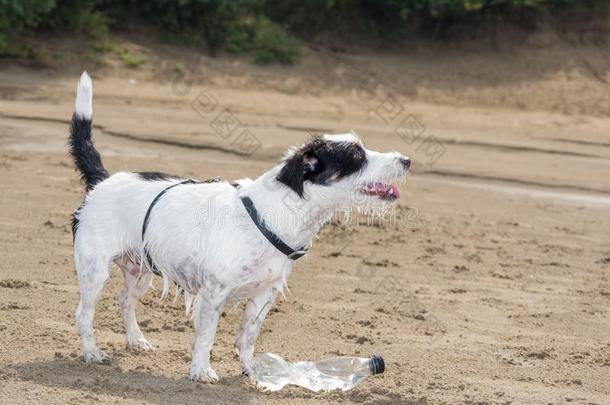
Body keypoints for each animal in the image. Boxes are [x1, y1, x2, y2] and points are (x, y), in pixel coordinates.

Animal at [69, 72, 406, 382]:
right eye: (357, 155)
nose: (406, 160)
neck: (274, 215)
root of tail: (102, 180)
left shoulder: (263, 296)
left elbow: (247, 338)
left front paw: (252, 370)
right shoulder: (214, 294)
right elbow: (206, 337)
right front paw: (201, 371)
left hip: (140, 270)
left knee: (125, 301)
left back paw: (136, 340)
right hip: (94, 271)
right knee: (84, 314)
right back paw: (92, 352)